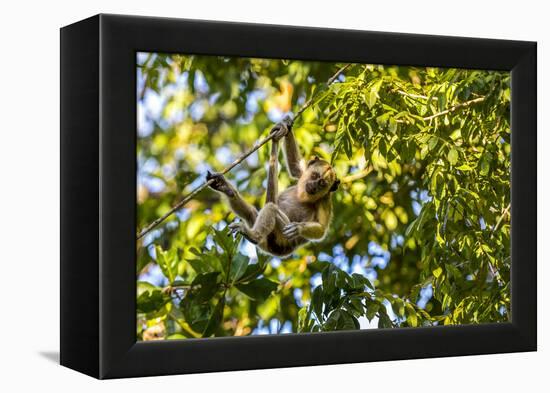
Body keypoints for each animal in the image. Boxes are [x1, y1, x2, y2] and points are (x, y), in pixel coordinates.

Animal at [207, 115, 340, 258]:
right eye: (314, 176)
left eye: (322, 184)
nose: (313, 186)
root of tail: (274, 249)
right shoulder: (304, 173)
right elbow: (295, 167)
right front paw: (286, 125)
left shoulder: (325, 200)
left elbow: (322, 229)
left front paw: (298, 228)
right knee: (251, 213)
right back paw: (227, 189)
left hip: (283, 238)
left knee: (271, 208)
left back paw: (253, 236)